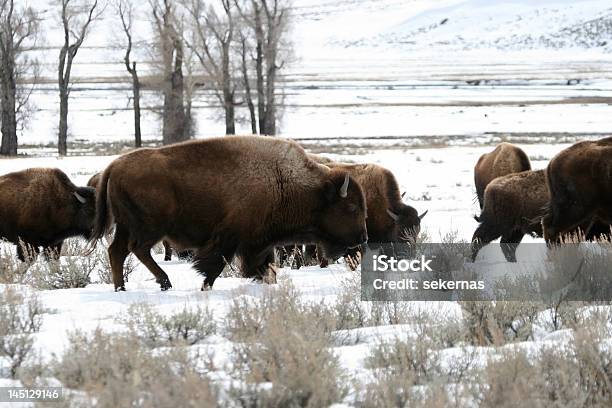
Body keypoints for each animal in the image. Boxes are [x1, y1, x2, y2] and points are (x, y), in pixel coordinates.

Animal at [91, 135, 368, 292]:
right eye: (352, 207)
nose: (363, 238)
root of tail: (114, 166)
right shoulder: (231, 240)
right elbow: (214, 267)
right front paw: (205, 287)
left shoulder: (260, 244)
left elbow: (263, 268)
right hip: (149, 228)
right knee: (136, 249)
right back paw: (163, 282)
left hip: (128, 226)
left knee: (118, 251)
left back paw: (123, 288)